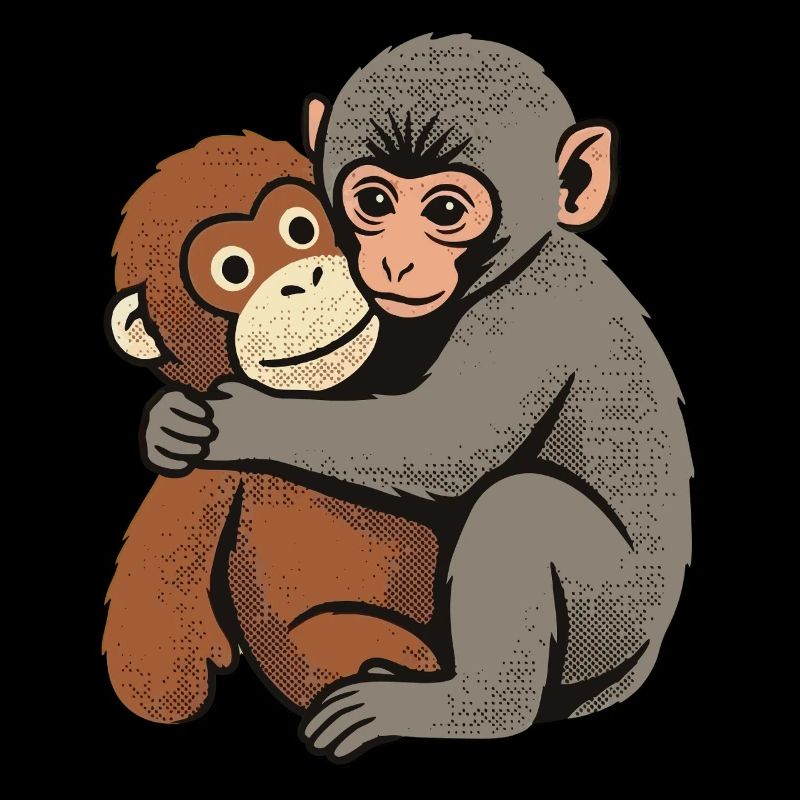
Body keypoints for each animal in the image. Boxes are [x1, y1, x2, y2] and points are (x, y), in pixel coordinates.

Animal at [143, 36, 692, 762]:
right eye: (375, 201)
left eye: (446, 212)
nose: (396, 262)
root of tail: (636, 668)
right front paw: (166, 426)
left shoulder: (529, 312)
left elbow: (447, 447)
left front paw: (243, 420)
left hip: (611, 614)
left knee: (522, 507)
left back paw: (468, 708)